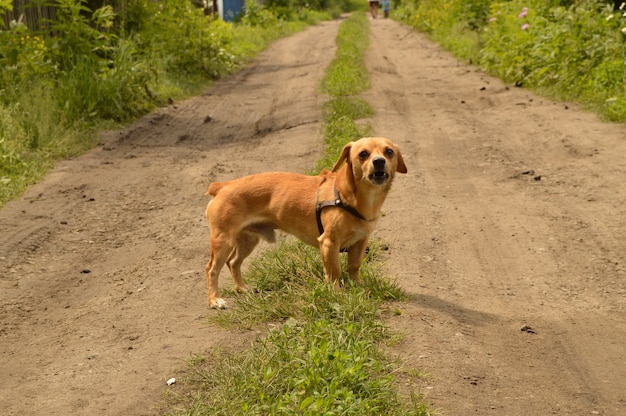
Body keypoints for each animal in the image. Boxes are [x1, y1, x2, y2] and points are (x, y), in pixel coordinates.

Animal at [205, 136, 408, 308]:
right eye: (363, 154)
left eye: (389, 151)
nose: (379, 161)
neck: (352, 198)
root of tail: (222, 186)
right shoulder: (329, 243)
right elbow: (334, 272)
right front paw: (337, 294)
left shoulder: (360, 242)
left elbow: (354, 267)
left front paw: (358, 287)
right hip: (223, 241)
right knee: (212, 269)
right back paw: (215, 300)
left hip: (248, 240)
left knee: (233, 262)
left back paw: (242, 288)